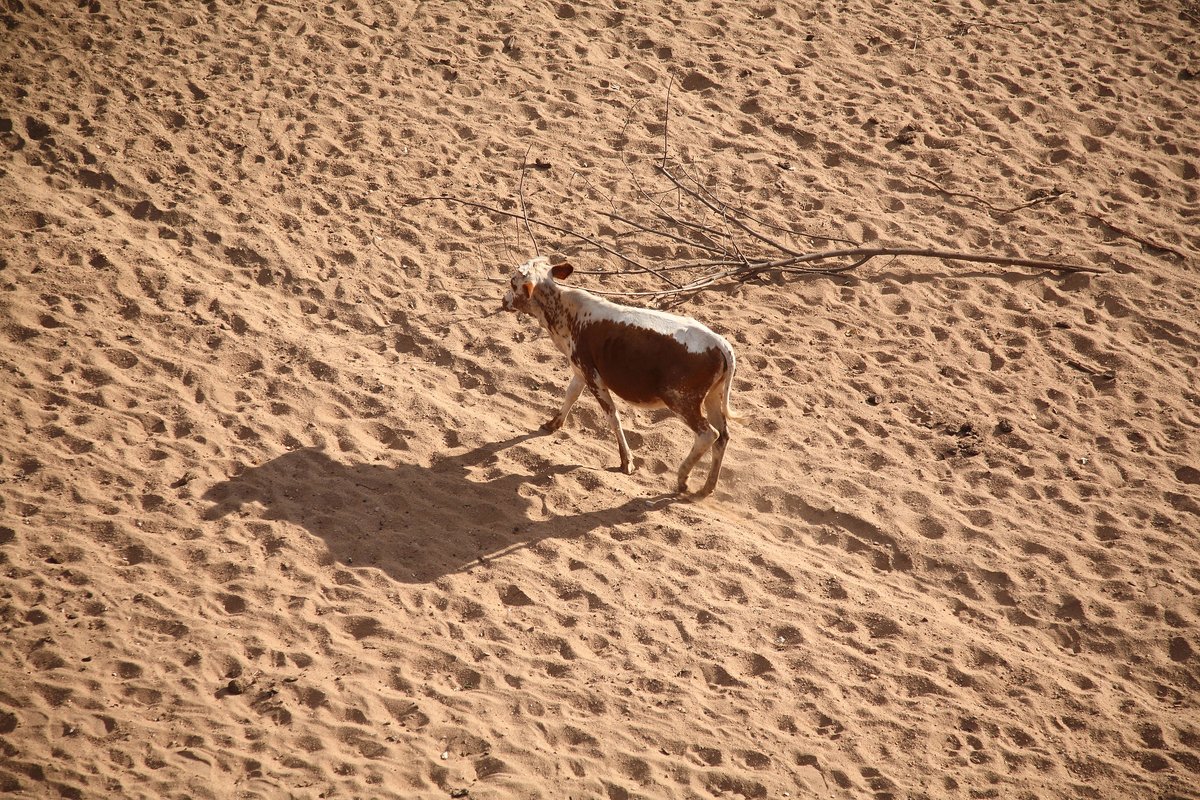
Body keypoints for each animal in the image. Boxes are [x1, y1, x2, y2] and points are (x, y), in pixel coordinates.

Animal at [501, 257, 734, 494]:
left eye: (513, 283)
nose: (503, 300)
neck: (567, 312)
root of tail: (720, 343)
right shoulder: (580, 370)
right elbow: (571, 395)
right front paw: (553, 424)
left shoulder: (593, 376)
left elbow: (612, 416)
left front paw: (626, 461)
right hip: (712, 397)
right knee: (722, 436)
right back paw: (707, 488)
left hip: (680, 400)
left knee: (708, 434)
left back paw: (682, 479)